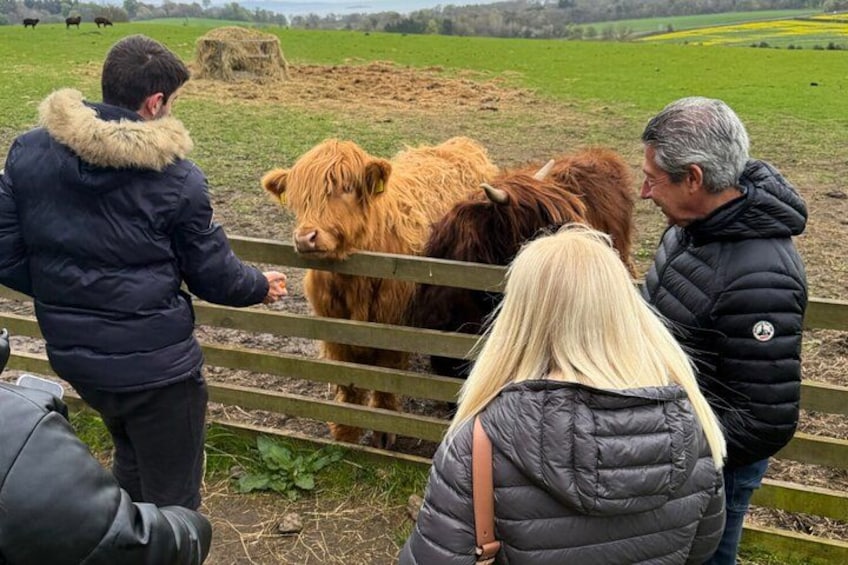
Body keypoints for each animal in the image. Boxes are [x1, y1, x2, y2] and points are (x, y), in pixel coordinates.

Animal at [261, 137, 498, 448]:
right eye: (300, 197)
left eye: (346, 188)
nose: (305, 238)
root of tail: (461, 143)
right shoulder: (333, 332)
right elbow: (348, 385)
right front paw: (345, 432)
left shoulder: (393, 327)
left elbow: (385, 379)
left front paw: (384, 433)